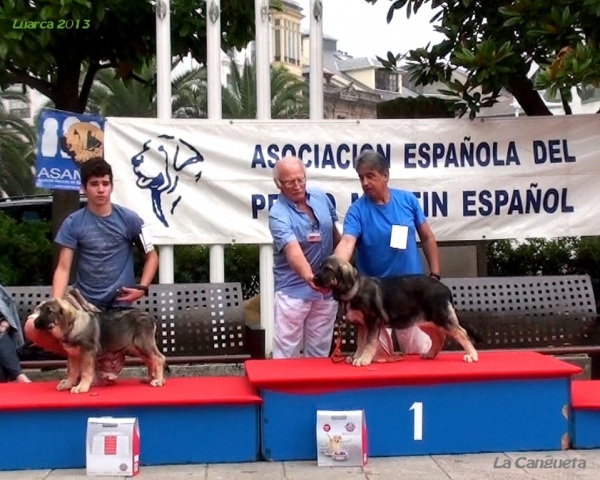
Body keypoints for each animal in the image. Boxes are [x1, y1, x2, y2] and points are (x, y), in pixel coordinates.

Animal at [29, 290, 166, 392]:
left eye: (49, 311)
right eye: (40, 310)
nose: (34, 323)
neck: (73, 326)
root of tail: (150, 317)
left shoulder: (87, 353)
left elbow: (85, 371)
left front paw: (81, 387)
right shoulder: (73, 355)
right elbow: (71, 372)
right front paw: (67, 384)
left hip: (143, 344)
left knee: (158, 358)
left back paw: (158, 380)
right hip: (135, 348)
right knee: (150, 360)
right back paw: (149, 378)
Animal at [314, 255, 478, 368]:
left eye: (328, 269)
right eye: (320, 266)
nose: (314, 278)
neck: (355, 288)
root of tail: (445, 288)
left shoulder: (373, 322)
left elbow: (369, 343)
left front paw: (363, 359)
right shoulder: (361, 325)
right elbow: (361, 343)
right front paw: (356, 357)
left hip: (440, 316)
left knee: (461, 333)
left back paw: (472, 355)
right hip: (426, 320)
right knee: (440, 336)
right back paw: (430, 354)